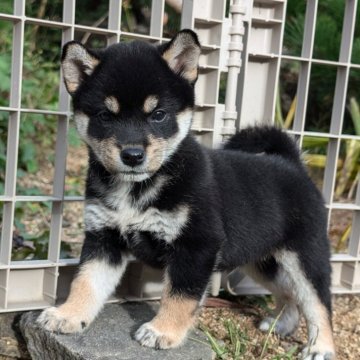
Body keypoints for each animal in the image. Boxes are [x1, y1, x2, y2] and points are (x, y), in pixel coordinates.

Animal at [38, 31, 336, 360]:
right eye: (105, 115)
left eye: (158, 115)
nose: (132, 155)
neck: (139, 187)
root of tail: (292, 164)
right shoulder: (104, 239)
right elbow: (86, 282)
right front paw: (68, 314)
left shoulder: (196, 245)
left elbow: (180, 295)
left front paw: (163, 331)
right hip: (260, 260)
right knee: (289, 293)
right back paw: (281, 324)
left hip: (304, 257)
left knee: (318, 302)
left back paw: (321, 346)